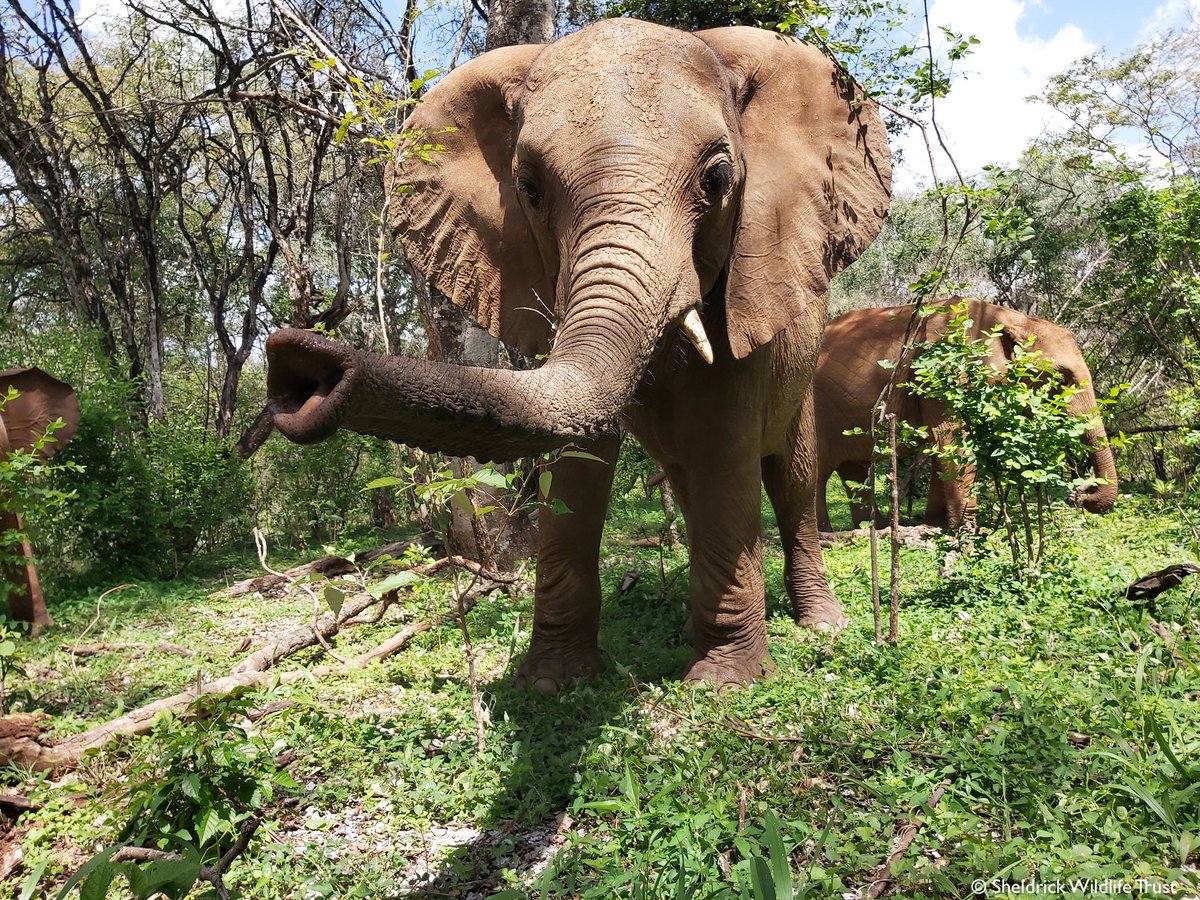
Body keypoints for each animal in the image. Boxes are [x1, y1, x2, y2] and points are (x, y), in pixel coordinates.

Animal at [266, 19, 892, 688]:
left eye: (718, 180)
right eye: (529, 189)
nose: (299, 373)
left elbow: (726, 446)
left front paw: (727, 683)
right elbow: (578, 459)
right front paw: (554, 682)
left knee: (790, 476)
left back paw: (821, 625)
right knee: (689, 480)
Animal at [815, 298, 1119, 531]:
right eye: (1061, 378)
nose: (1079, 495)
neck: (1011, 318)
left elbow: (943, 446)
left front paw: (937, 525)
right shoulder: (944, 370)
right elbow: (952, 439)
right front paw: (968, 532)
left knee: (854, 469)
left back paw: (873, 529)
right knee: (817, 471)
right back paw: (827, 537)